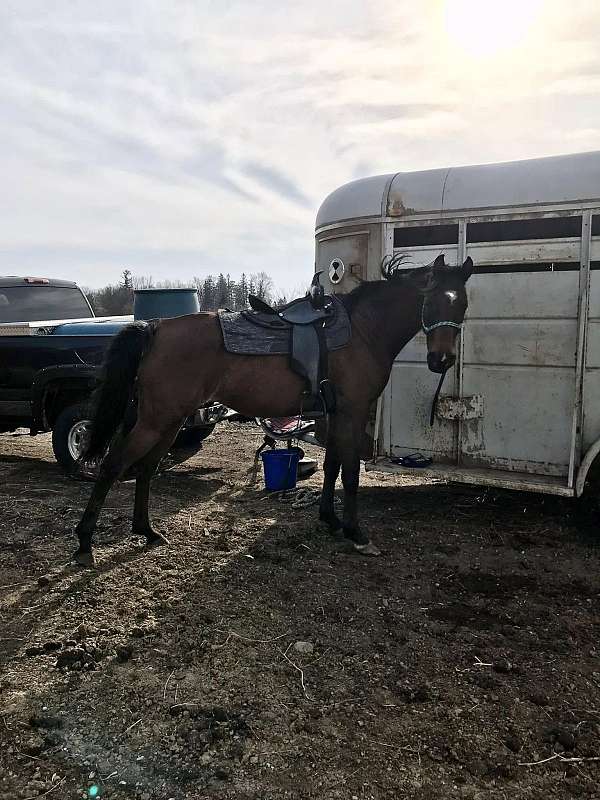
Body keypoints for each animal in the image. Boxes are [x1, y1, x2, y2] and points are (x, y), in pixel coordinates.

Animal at [72, 253, 474, 564]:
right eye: (432, 301)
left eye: (463, 304)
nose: (441, 360)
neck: (362, 331)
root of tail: (156, 327)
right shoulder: (353, 412)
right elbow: (350, 474)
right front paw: (356, 533)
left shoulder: (333, 414)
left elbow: (331, 467)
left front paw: (329, 520)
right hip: (157, 420)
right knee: (112, 465)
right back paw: (84, 543)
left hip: (168, 420)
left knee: (145, 469)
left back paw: (147, 531)